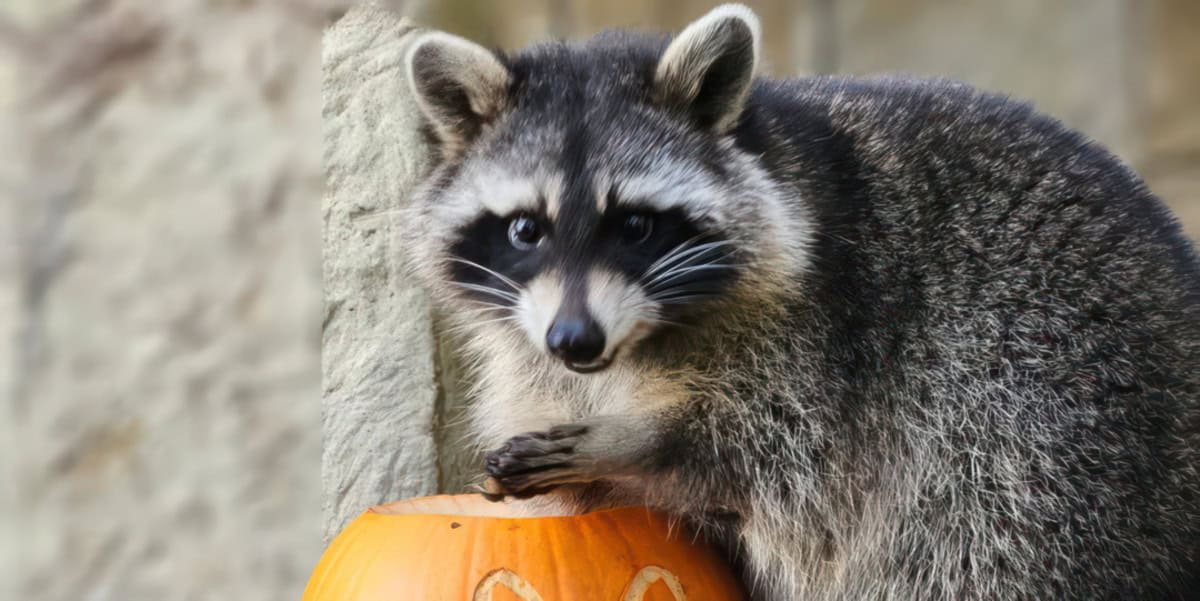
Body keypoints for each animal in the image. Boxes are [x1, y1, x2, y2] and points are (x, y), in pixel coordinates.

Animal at [400, 4, 1200, 599]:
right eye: (524, 229)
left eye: (634, 225)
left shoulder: (834, 333)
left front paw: (634, 441)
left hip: (1046, 418)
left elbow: (770, 451)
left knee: (972, 534)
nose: (575, 340)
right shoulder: (534, 354)